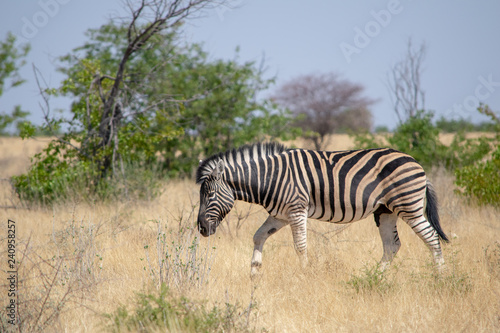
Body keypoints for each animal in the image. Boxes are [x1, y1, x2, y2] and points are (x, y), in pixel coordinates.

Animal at [195, 143, 450, 274]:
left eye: (209, 195)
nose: (201, 229)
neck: (270, 178)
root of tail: (416, 162)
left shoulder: (296, 210)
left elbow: (300, 246)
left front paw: (305, 276)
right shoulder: (280, 215)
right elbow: (258, 236)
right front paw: (254, 272)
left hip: (408, 206)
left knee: (431, 237)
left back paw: (440, 277)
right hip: (385, 211)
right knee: (392, 245)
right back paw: (376, 277)